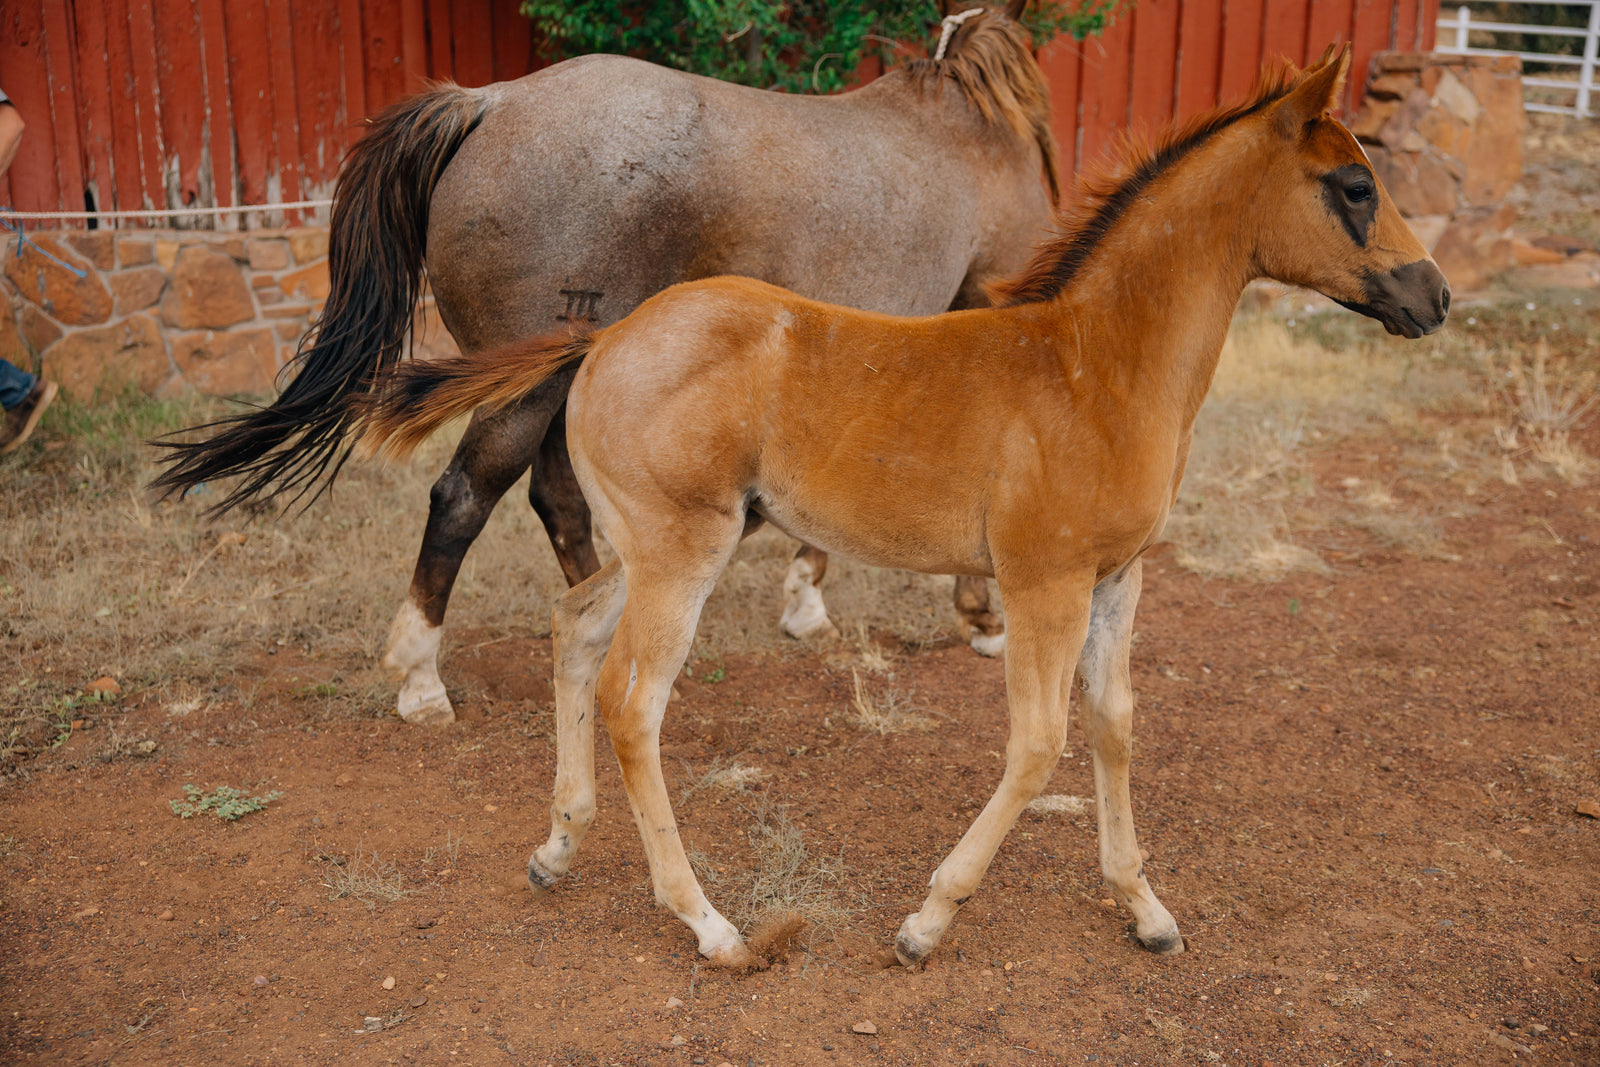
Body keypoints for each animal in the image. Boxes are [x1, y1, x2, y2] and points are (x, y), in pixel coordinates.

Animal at [151, 0, 1061, 725]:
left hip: (568, 377)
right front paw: (980, 618)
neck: (967, 130)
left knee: (558, 501)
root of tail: (488, 104)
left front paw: (808, 598)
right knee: (464, 497)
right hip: (528, 386)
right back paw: (422, 681)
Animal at [356, 44, 1449, 967]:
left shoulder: (1116, 580)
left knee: (575, 625)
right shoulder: (1044, 581)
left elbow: (1114, 725)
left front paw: (1144, 906)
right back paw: (708, 921)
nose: (1433, 297)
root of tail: (605, 337)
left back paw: (557, 844)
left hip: (652, 546)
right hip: (680, 551)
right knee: (631, 696)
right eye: (1355, 186)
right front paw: (928, 917)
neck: (1094, 365)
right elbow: (1039, 742)